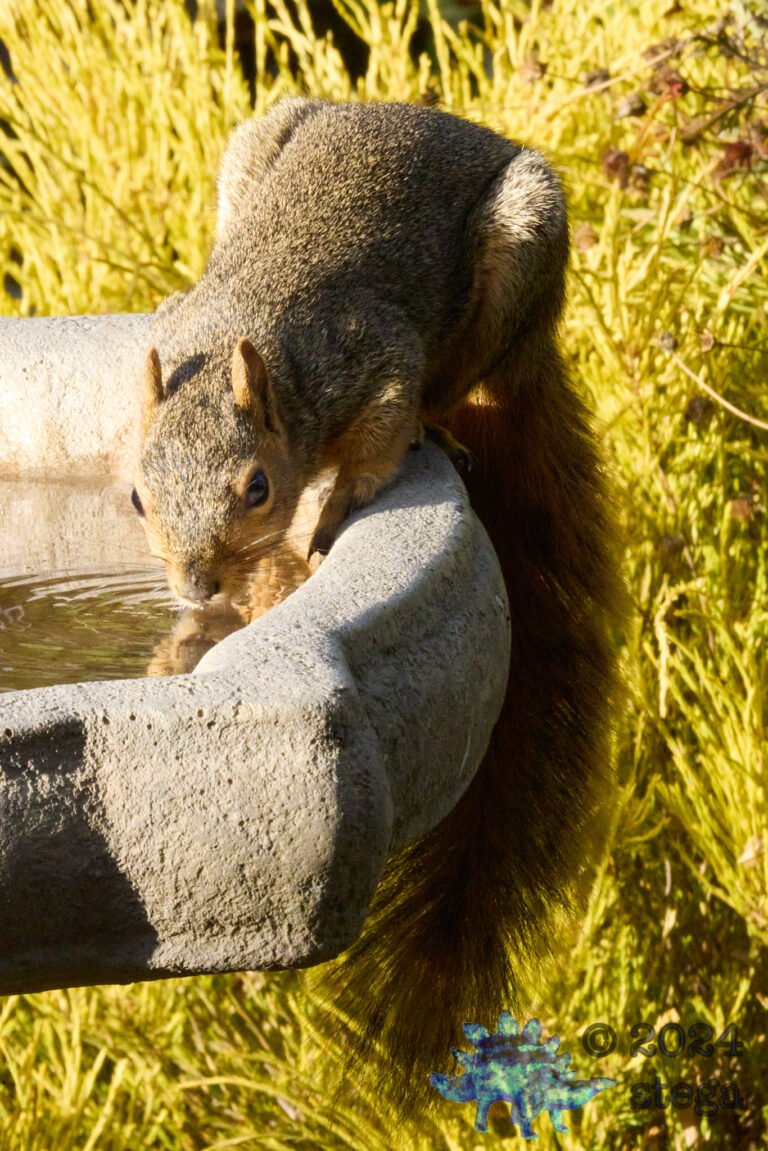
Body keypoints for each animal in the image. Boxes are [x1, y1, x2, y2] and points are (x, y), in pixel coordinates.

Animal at [132, 97, 623, 1116]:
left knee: (459, 384)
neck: (253, 333)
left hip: (518, 257)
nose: (195, 586)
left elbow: (376, 443)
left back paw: (446, 422)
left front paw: (325, 516)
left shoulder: (377, 360)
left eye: (255, 488)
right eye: (135, 497)